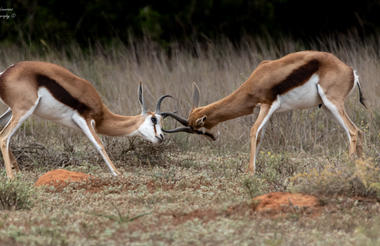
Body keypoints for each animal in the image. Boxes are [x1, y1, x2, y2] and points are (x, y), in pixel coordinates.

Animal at [0, 61, 172, 179]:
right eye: (154, 119)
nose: (161, 137)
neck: (102, 114)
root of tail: (5, 73)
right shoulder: (85, 119)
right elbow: (100, 145)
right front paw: (117, 173)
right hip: (23, 110)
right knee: (4, 137)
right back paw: (11, 177)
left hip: (12, 111)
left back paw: (17, 169)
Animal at [163, 50, 368, 174]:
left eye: (199, 130)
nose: (214, 138)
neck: (258, 79)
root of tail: (352, 72)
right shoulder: (267, 110)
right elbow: (260, 136)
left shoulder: (267, 105)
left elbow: (253, 131)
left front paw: (250, 171)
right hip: (326, 107)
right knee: (358, 131)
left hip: (332, 103)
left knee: (352, 131)